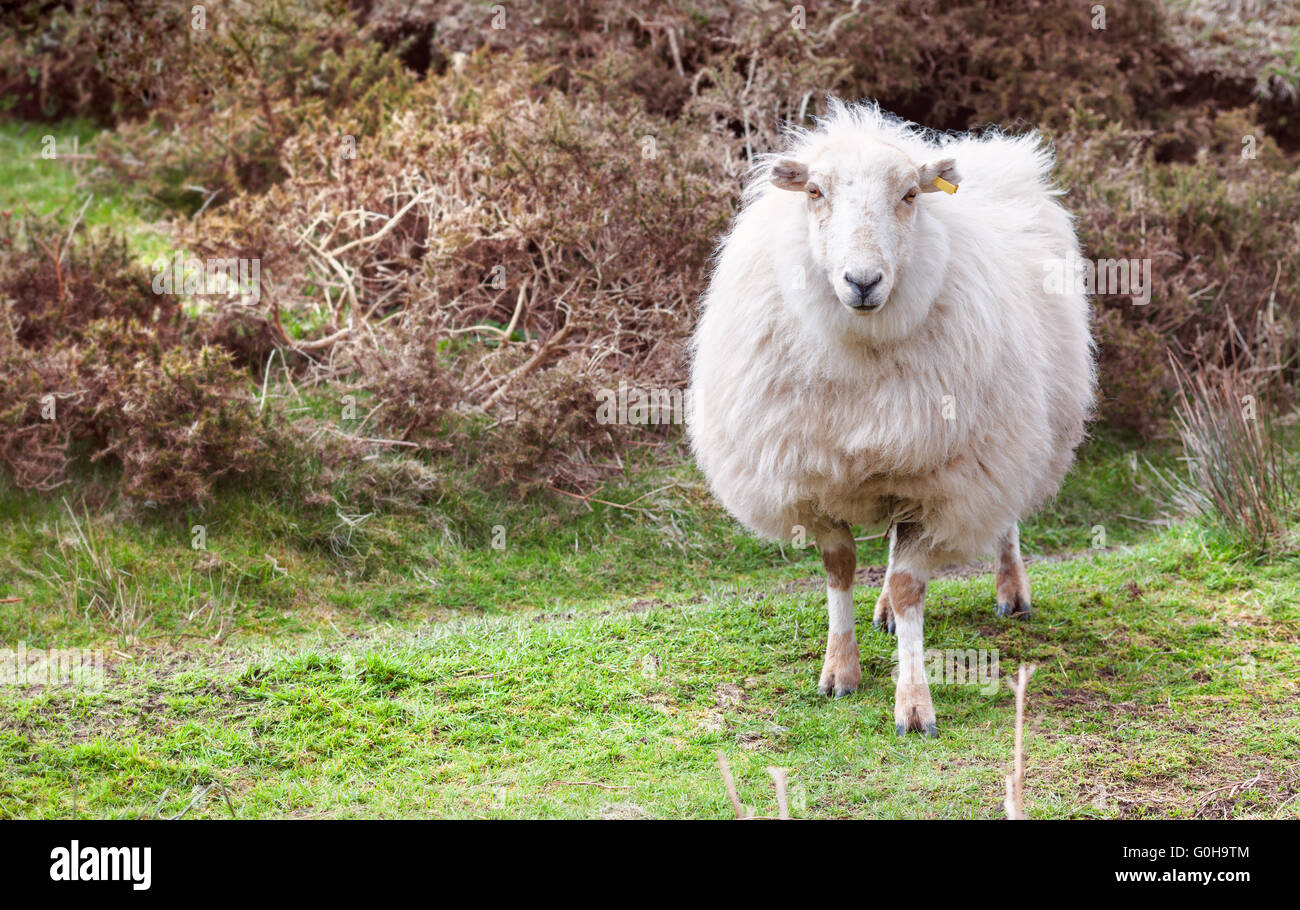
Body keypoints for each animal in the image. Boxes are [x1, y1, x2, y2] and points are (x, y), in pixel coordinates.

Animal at [691, 97, 1097, 738]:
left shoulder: (946, 479)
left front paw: (914, 703)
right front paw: (840, 671)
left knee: (1003, 517)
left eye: (909, 194)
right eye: (814, 191)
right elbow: (839, 569)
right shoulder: (815, 477)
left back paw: (1011, 591)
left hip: (1006, 436)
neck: (860, 346)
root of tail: (995, 154)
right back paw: (880, 606)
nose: (862, 281)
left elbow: (912, 588)